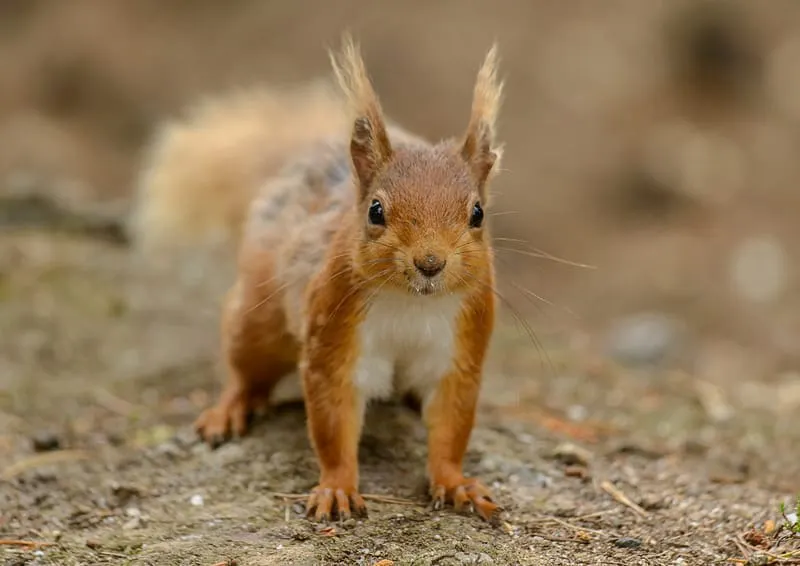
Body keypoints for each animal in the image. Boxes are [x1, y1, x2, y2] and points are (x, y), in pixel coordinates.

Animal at [132, 36, 505, 523]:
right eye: (375, 211)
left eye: (477, 213)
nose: (430, 263)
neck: (412, 302)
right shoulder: (333, 336)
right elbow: (332, 423)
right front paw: (337, 487)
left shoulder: (459, 350)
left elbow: (451, 426)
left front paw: (456, 482)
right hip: (257, 319)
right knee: (246, 369)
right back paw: (229, 409)